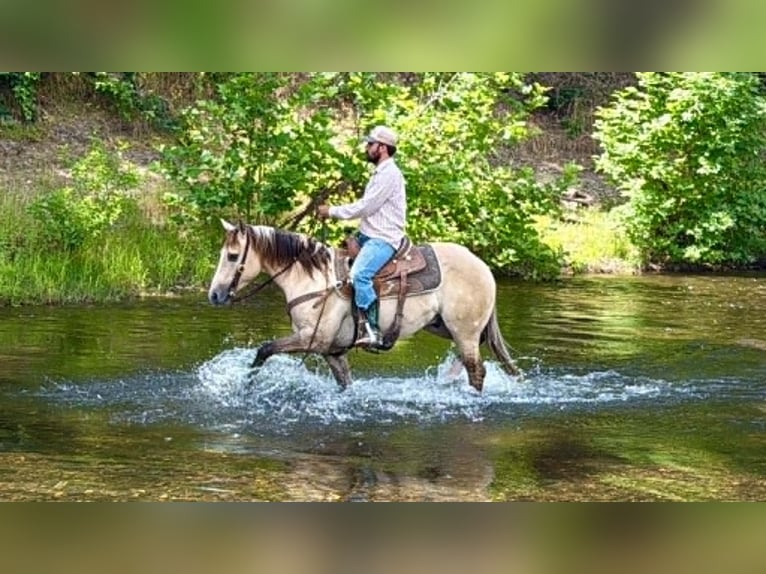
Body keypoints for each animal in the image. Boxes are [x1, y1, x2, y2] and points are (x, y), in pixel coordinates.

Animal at [207, 220, 520, 392]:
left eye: (233, 256)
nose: (214, 295)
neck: (312, 279)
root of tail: (483, 266)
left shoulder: (312, 339)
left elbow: (265, 350)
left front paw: (246, 387)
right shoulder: (332, 351)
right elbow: (345, 384)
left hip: (463, 330)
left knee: (476, 371)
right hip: (443, 326)